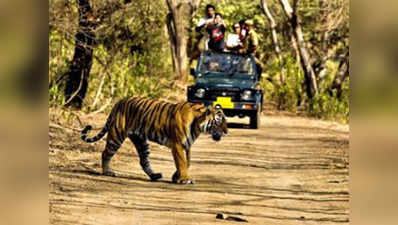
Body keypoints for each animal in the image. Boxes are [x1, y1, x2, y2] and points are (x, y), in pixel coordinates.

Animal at [81, 97, 227, 184]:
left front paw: (176, 177)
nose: (226, 132)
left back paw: (154, 176)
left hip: (141, 142)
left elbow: (187, 162)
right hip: (116, 136)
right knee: (106, 153)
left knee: (143, 161)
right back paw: (107, 172)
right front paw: (184, 179)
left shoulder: (187, 146)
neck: (198, 125)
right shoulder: (178, 144)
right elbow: (182, 162)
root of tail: (119, 102)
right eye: (219, 121)